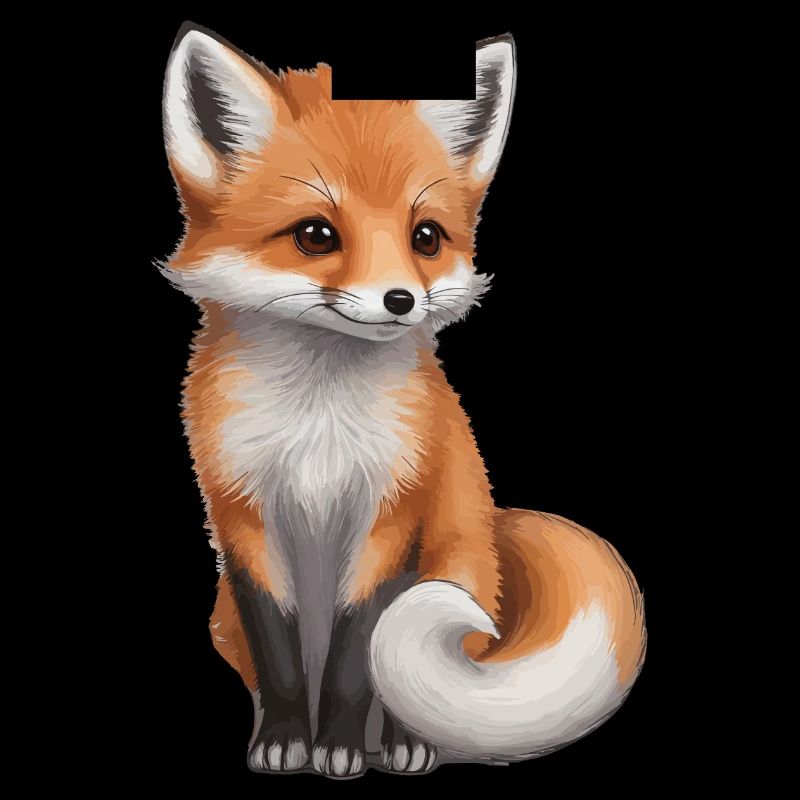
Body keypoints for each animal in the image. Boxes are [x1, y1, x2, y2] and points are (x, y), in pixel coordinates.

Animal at [159, 23, 646, 778]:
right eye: (316, 234)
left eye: (426, 237)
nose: (400, 300)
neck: (320, 423)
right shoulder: (243, 516)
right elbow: (279, 649)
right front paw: (287, 739)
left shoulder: (393, 511)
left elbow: (359, 651)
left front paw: (337, 746)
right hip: (222, 617)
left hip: (452, 562)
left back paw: (400, 743)